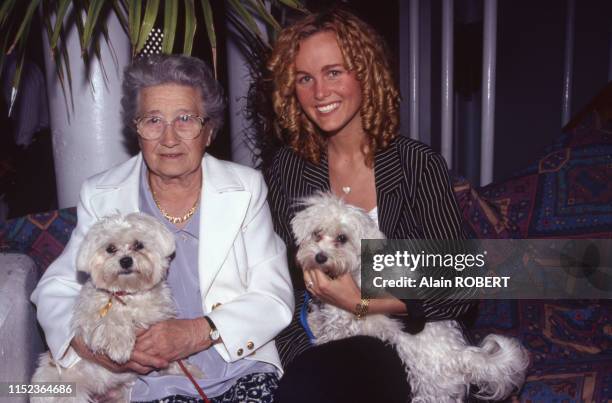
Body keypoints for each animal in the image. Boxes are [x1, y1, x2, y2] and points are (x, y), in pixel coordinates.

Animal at [32, 213, 201, 402]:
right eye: (110, 248)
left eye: (139, 245)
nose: (126, 260)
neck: (127, 293)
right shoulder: (87, 318)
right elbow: (113, 319)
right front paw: (120, 347)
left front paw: (188, 370)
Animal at [292, 194, 532, 402]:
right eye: (316, 233)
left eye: (342, 239)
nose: (320, 257)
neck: (355, 267)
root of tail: (461, 356)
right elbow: (318, 319)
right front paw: (312, 321)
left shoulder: (343, 317)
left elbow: (332, 333)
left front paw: (318, 339)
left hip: (431, 390)